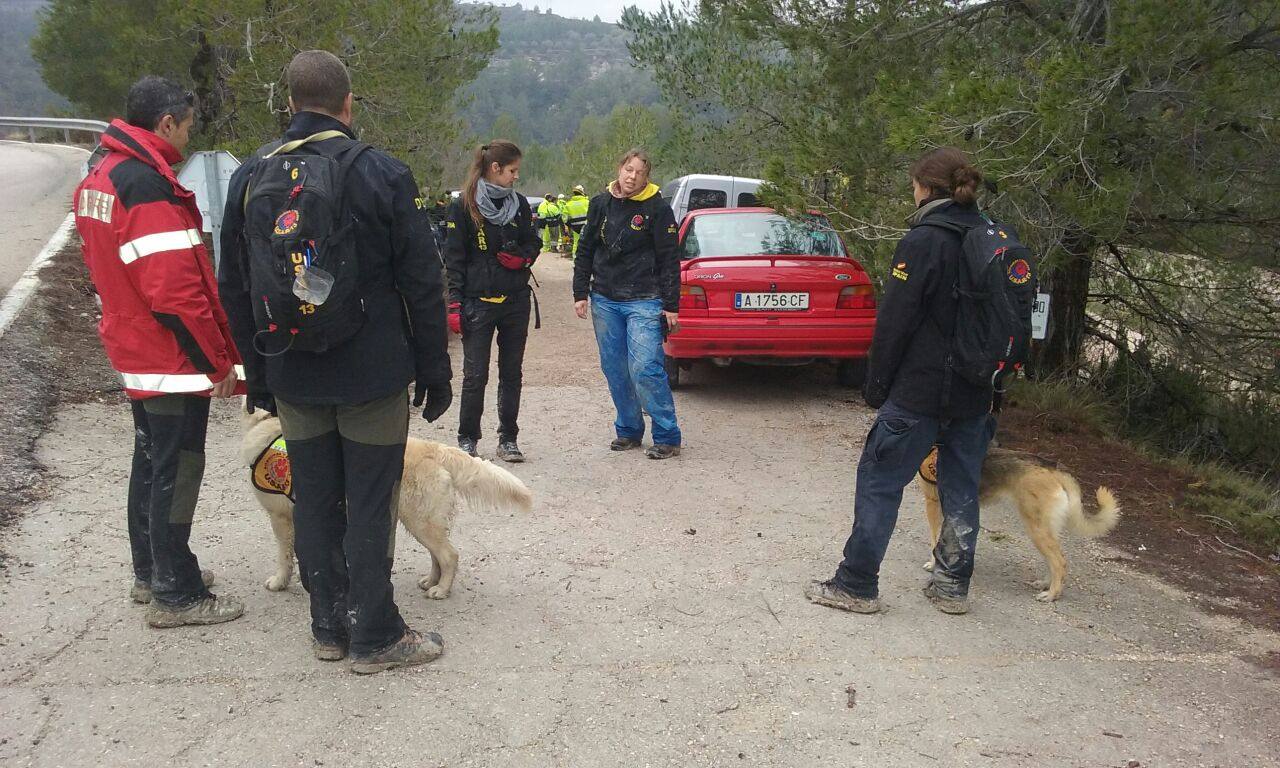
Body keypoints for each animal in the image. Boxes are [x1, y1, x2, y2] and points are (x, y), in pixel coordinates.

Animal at [241, 414, 532, 599]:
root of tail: (434, 449)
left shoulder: (280, 517)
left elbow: (284, 554)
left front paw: (280, 581)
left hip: (419, 521)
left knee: (449, 555)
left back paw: (441, 590)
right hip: (422, 522)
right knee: (437, 555)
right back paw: (431, 581)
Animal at [921, 448, 1121, 604]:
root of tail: (1052, 468)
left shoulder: (933, 505)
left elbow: (934, 540)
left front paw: (934, 563)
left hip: (1036, 529)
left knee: (1059, 562)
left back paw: (1051, 595)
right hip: (1045, 529)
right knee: (1054, 560)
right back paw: (1046, 585)